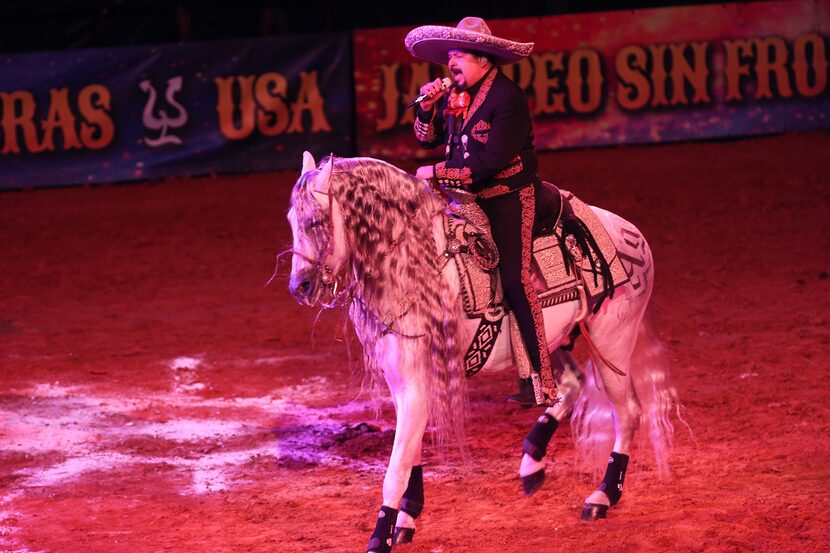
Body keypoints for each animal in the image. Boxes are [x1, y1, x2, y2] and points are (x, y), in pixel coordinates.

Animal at [290, 152, 680, 552]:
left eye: (315, 221)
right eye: (291, 221)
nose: (299, 286)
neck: (414, 266)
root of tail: (631, 233)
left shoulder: (416, 381)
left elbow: (396, 467)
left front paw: (380, 537)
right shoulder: (400, 380)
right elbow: (410, 451)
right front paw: (406, 519)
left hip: (613, 343)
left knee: (628, 411)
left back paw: (602, 496)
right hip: (550, 342)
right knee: (571, 385)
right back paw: (532, 464)